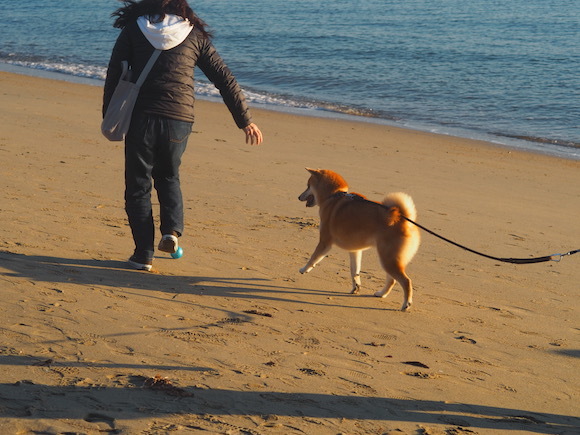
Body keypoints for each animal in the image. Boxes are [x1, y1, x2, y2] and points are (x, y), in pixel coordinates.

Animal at [302, 169, 420, 312]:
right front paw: (356, 287)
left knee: (406, 281)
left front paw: (304, 269)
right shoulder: (355, 250)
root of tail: (402, 218)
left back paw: (406, 304)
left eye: (308, 185)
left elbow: (314, 257)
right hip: (390, 260)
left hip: (388, 259)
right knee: (392, 280)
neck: (333, 197)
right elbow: (355, 271)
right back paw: (381, 294)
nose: (298, 197)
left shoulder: (325, 242)